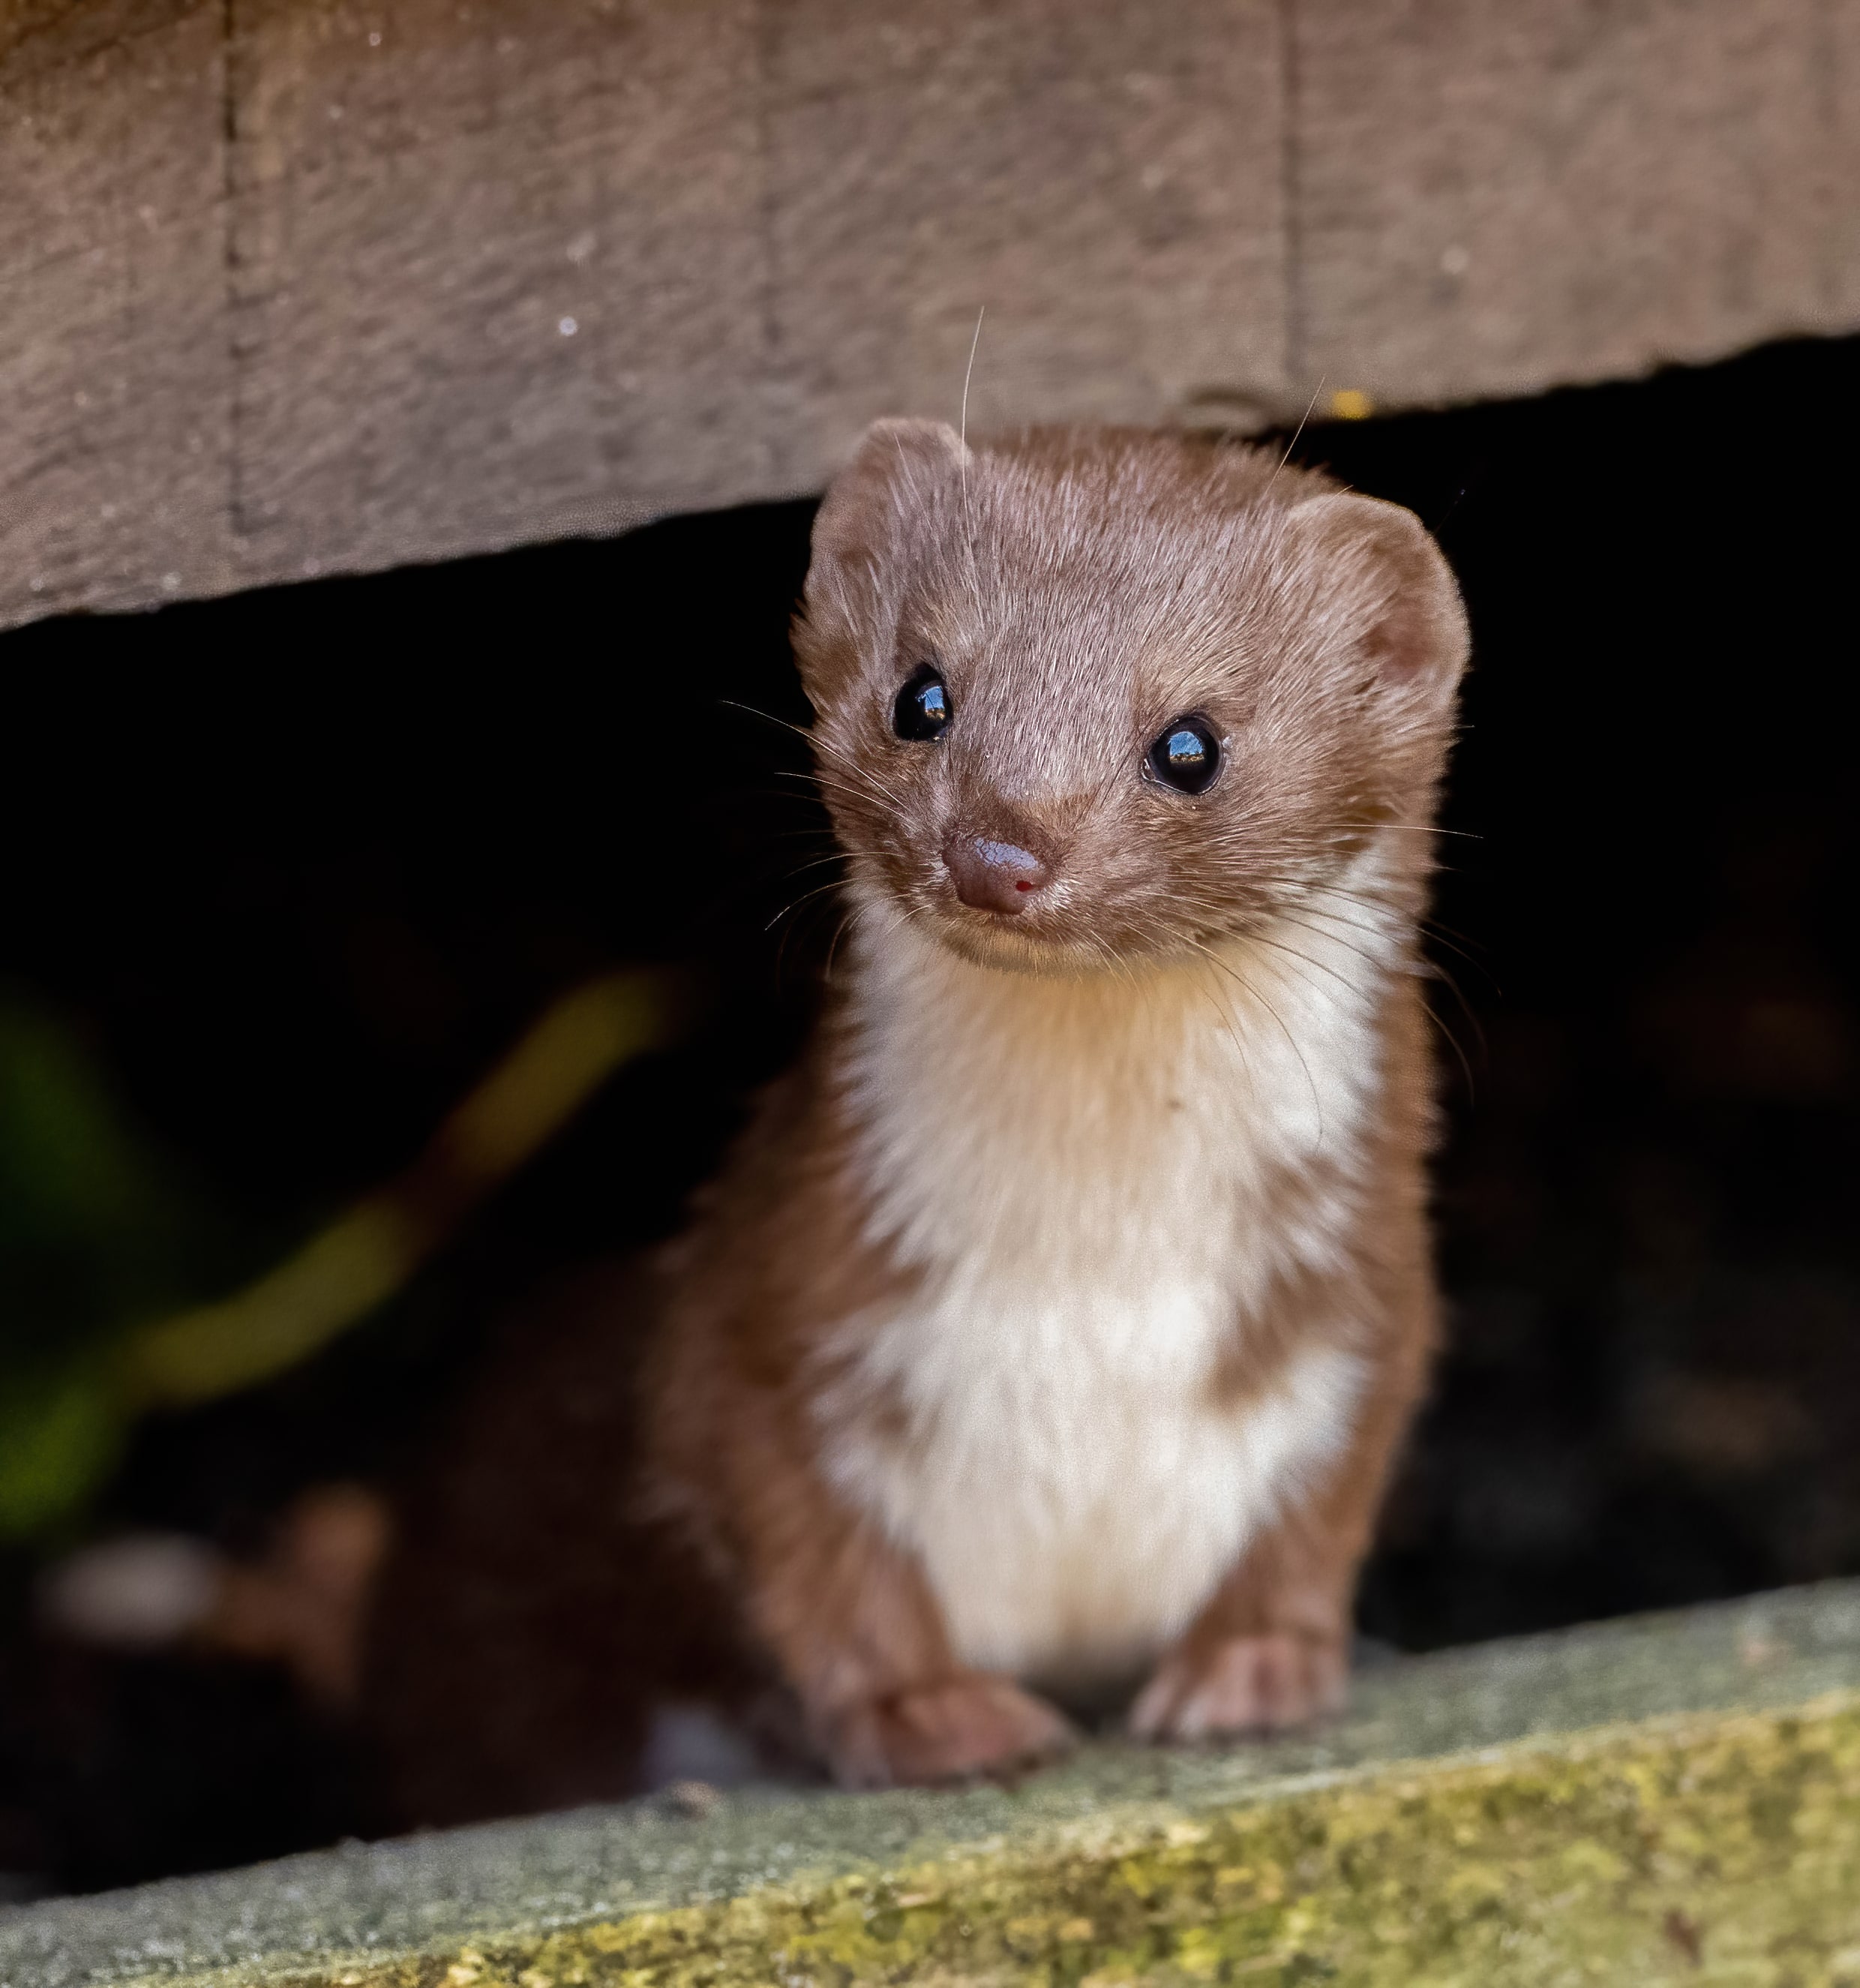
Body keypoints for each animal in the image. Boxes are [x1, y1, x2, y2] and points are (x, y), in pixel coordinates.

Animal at [359, 419, 1470, 1821]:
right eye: (922, 693)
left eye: (1192, 744)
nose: (998, 851)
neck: (1089, 1297)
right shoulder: (767, 1319)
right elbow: (813, 1551)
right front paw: (934, 1713)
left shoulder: (1367, 1314)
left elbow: (1319, 1508)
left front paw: (1255, 1669)